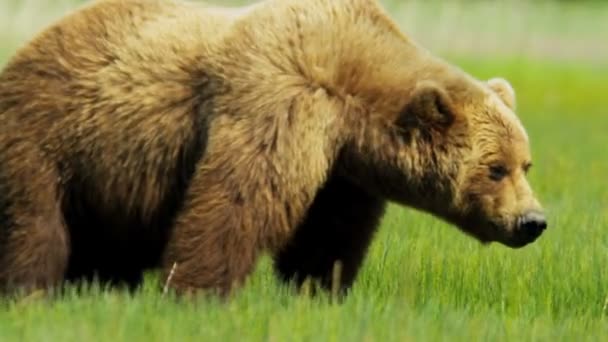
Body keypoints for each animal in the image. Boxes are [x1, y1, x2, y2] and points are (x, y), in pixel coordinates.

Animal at [0, 0, 548, 298]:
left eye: (526, 163)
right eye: (495, 168)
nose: (533, 222)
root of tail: (25, 48)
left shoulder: (343, 169)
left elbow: (327, 237)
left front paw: (316, 290)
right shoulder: (276, 100)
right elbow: (236, 202)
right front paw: (196, 292)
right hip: (50, 137)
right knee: (36, 229)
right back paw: (31, 292)